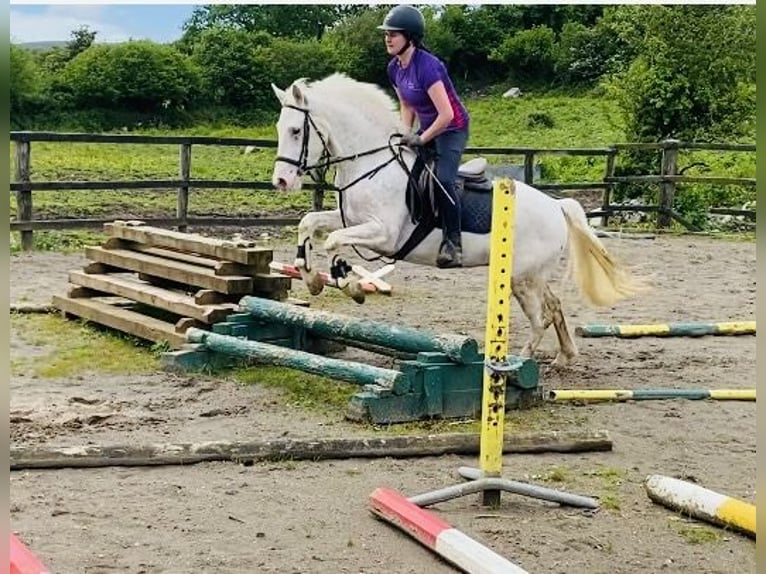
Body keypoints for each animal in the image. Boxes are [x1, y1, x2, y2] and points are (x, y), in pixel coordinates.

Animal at [270, 74, 648, 366]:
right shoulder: (349, 219)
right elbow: (308, 223)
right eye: (279, 128)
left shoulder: (384, 235)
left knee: (540, 318)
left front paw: (348, 284)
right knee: (553, 306)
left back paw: (519, 363)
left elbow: (334, 243)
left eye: (295, 131)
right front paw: (311, 277)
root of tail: (556, 207)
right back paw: (564, 356)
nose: (281, 182)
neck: (370, 164)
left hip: (521, 279)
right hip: (532, 276)